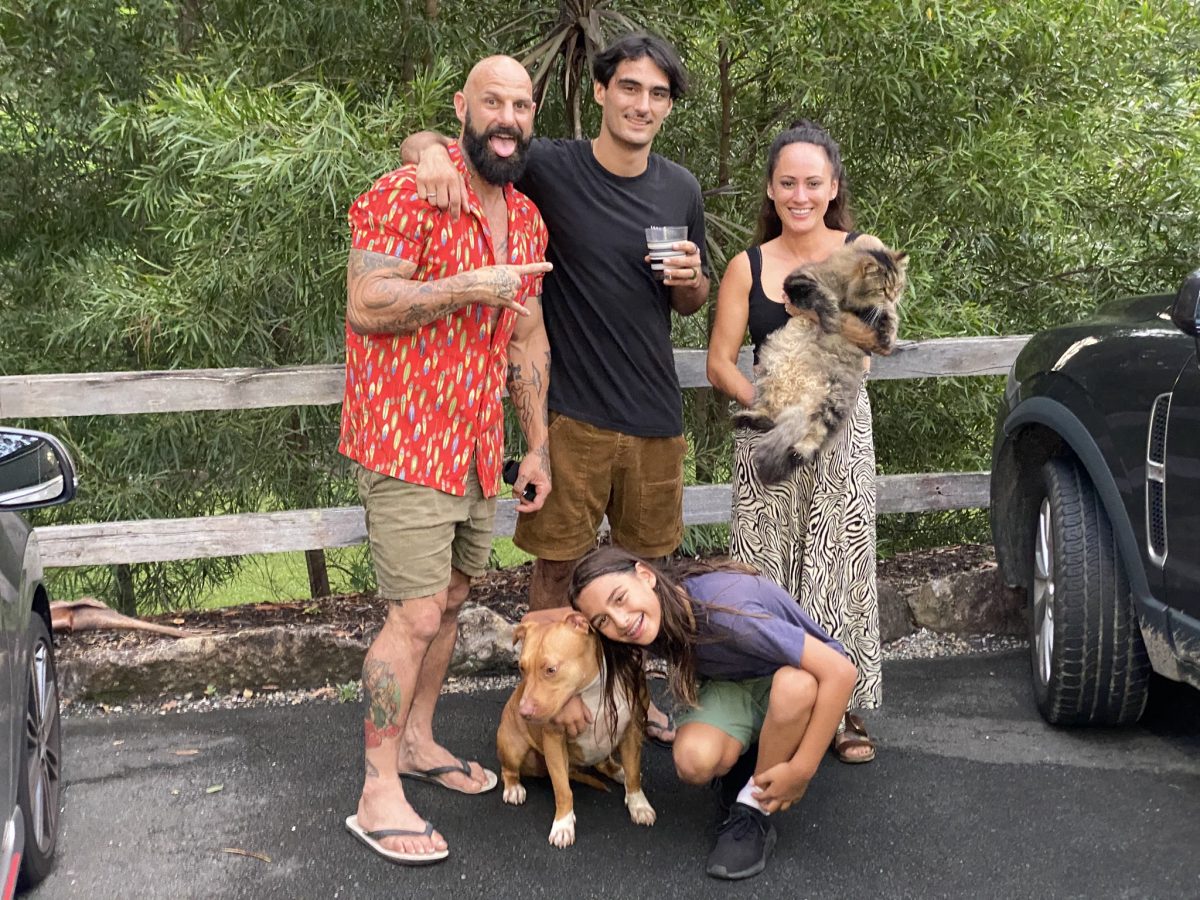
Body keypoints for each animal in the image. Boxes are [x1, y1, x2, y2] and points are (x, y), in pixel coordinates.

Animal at [496, 609, 657, 849]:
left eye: (551, 670)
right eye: (521, 668)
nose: (523, 712)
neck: (592, 691)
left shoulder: (632, 730)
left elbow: (634, 773)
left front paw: (638, 803)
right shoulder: (554, 741)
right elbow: (563, 790)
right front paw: (563, 825)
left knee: (605, 764)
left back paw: (619, 771)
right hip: (513, 747)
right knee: (508, 770)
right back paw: (514, 788)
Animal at [729, 243, 907, 487]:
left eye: (897, 287)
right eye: (882, 288)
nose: (893, 297)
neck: (846, 290)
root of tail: (802, 404)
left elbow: (887, 316)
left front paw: (888, 334)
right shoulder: (799, 280)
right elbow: (819, 293)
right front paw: (831, 311)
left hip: (832, 401)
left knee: (812, 437)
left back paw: (796, 451)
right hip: (770, 373)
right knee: (770, 417)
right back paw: (749, 418)